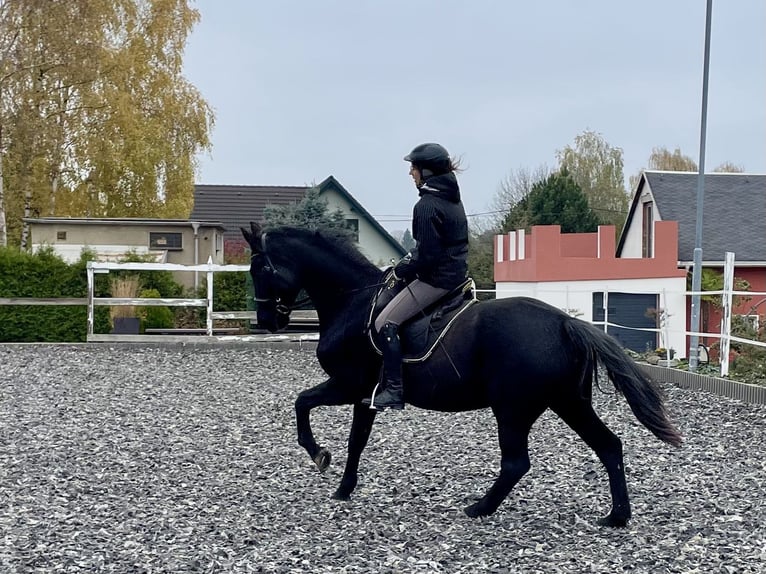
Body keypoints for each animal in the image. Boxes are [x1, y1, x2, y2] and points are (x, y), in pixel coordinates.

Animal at [242, 223, 684, 528]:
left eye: (260, 267)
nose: (266, 321)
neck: (353, 302)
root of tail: (563, 322)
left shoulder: (347, 385)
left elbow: (302, 404)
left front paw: (319, 454)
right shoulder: (365, 395)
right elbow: (356, 442)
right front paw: (344, 487)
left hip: (513, 408)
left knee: (517, 463)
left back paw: (479, 507)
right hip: (568, 402)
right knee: (609, 446)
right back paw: (617, 516)